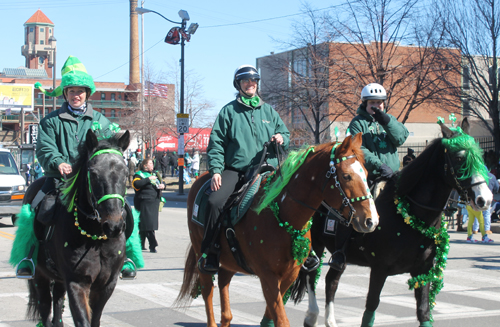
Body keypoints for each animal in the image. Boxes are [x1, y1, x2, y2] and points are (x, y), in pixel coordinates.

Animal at [21, 131, 131, 327]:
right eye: (93, 174)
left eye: (125, 173)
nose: (114, 226)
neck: (95, 238)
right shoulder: (77, 283)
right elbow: (82, 320)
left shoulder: (106, 285)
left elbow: (95, 319)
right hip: (40, 275)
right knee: (45, 306)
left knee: (57, 299)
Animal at [176, 134, 378, 327]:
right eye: (346, 176)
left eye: (367, 173)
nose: (372, 220)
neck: (282, 214)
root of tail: (201, 179)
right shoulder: (268, 277)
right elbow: (281, 320)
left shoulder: (289, 275)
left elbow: (271, 318)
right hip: (201, 255)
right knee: (207, 292)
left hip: (231, 260)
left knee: (224, 288)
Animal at [290, 120, 492, 327]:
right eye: (459, 157)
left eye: (479, 155)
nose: (485, 199)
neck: (408, 214)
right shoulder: (379, 269)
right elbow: (370, 308)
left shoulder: (424, 270)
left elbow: (424, 311)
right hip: (315, 245)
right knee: (312, 276)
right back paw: (312, 315)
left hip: (341, 256)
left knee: (331, 281)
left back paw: (330, 320)